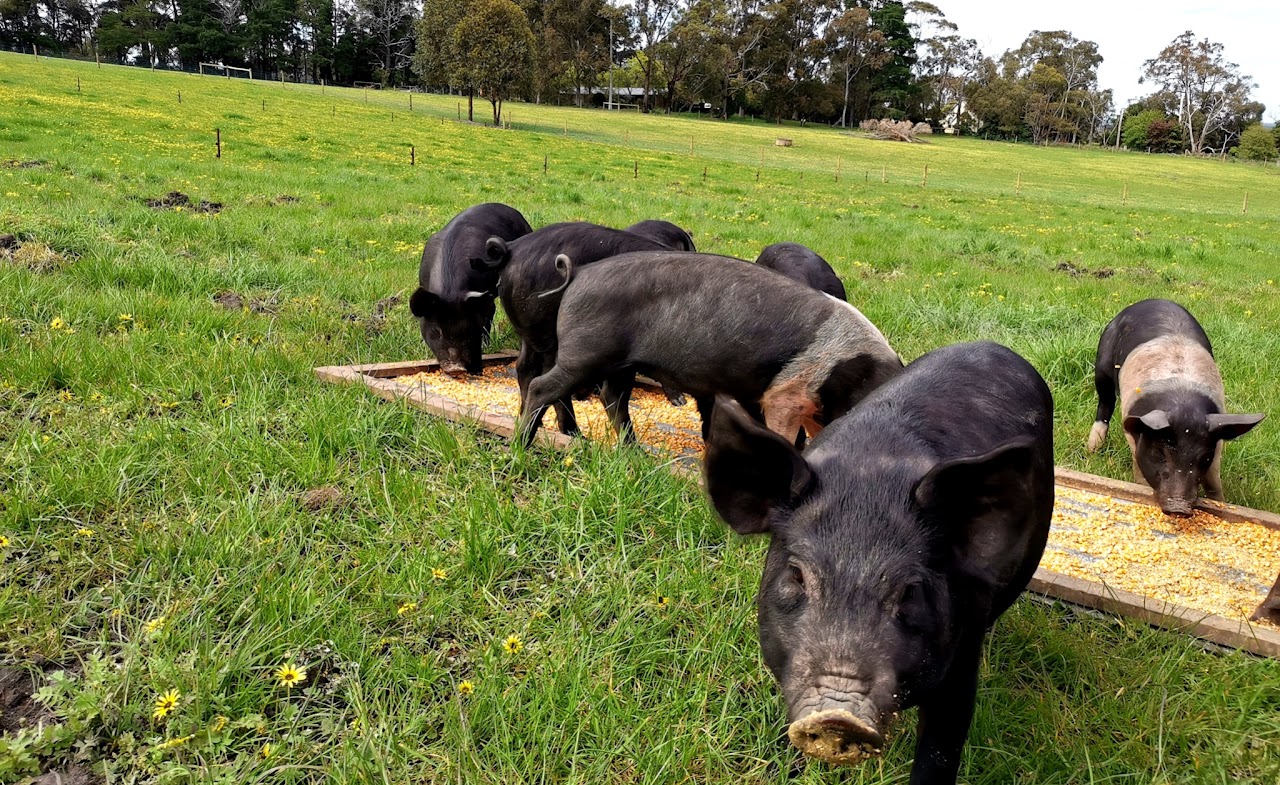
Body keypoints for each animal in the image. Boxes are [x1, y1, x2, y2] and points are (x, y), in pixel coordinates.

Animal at [515, 252, 903, 448]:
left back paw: (634, 453)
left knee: (613, 399)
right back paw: (523, 445)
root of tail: (579, 272)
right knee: (543, 386)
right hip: (586, 351)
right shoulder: (787, 395)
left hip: (620, 363)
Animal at [702, 341, 1054, 785]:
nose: (838, 716)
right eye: (796, 574)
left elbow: (941, 748)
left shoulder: (962, 656)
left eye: (910, 590)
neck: (871, 473)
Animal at [1086, 299, 1264, 516]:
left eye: (1204, 457)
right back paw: (1092, 449)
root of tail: (1153, 299)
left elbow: (1213, 480)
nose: (1179, 507)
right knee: (1105, 403)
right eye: (1160, 453)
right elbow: (1139, 472)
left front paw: (1220, 502)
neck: (1181, 400)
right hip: (1103, 362)